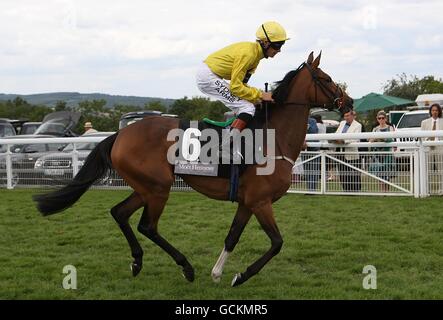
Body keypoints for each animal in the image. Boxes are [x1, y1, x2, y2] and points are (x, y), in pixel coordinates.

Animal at [33, 52, 354, 288]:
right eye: (325, 78)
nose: (349, 102)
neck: (272, 139)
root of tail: (120, 135)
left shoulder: (247, 202)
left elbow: (232, 237)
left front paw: (218, 273)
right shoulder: (261, 201)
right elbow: (277, 243)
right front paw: (240, 276)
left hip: (146, 187)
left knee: (120, 213)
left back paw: (137, 261)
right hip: (158, 187)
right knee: (147, 225)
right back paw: (185, 267)